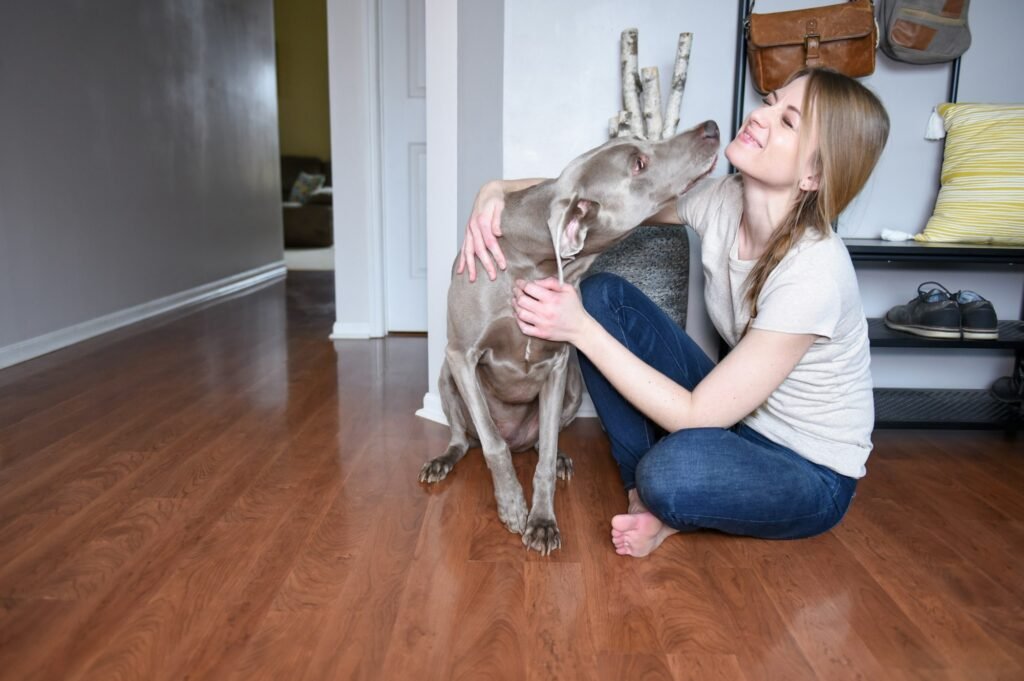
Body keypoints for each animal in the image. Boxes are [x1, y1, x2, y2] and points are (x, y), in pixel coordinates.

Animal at [419, 120, 724, 552]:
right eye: (638, 163)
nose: (711, 127)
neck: (535, 263)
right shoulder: (462, 354)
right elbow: (494, 445)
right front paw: (512, 505)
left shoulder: (558, 364)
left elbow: (545, 456)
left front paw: (542, 522)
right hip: (447, 374)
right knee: (468, 439)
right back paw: (443, 460)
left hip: (574, 388)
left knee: (540, 444)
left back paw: (560, 458)